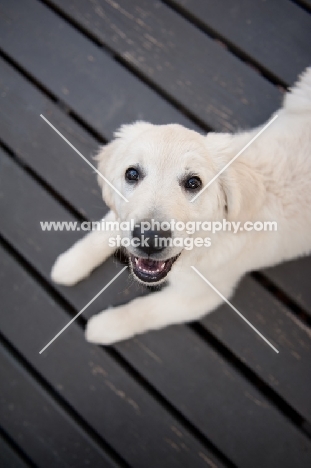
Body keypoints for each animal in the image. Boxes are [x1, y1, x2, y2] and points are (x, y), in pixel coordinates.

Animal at [51, 66, 311, 344]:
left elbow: (146, 309)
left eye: (193, 183)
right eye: (131, 174)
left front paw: (104, 325)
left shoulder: (200, 296)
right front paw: (69, 264)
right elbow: (106, 229)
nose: (150, 239)